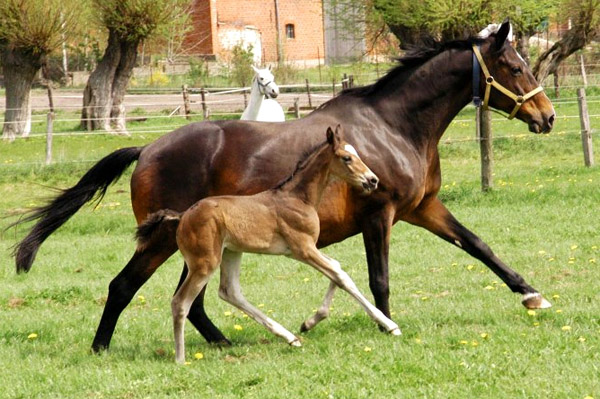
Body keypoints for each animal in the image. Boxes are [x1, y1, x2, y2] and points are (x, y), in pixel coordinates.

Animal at [136, 126, 398, 366]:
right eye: (347, 158)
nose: (372, 180)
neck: (298, 198)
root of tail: (182, 216)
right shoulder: (303, 248)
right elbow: (342, 275)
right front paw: (389, 325)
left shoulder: (300, 251)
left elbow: (336, 268)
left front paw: (310, 322)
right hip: (204, 263)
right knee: (180, 302)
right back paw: (180, 359)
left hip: (231, 252)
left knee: (229, 291)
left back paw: (290, 337)